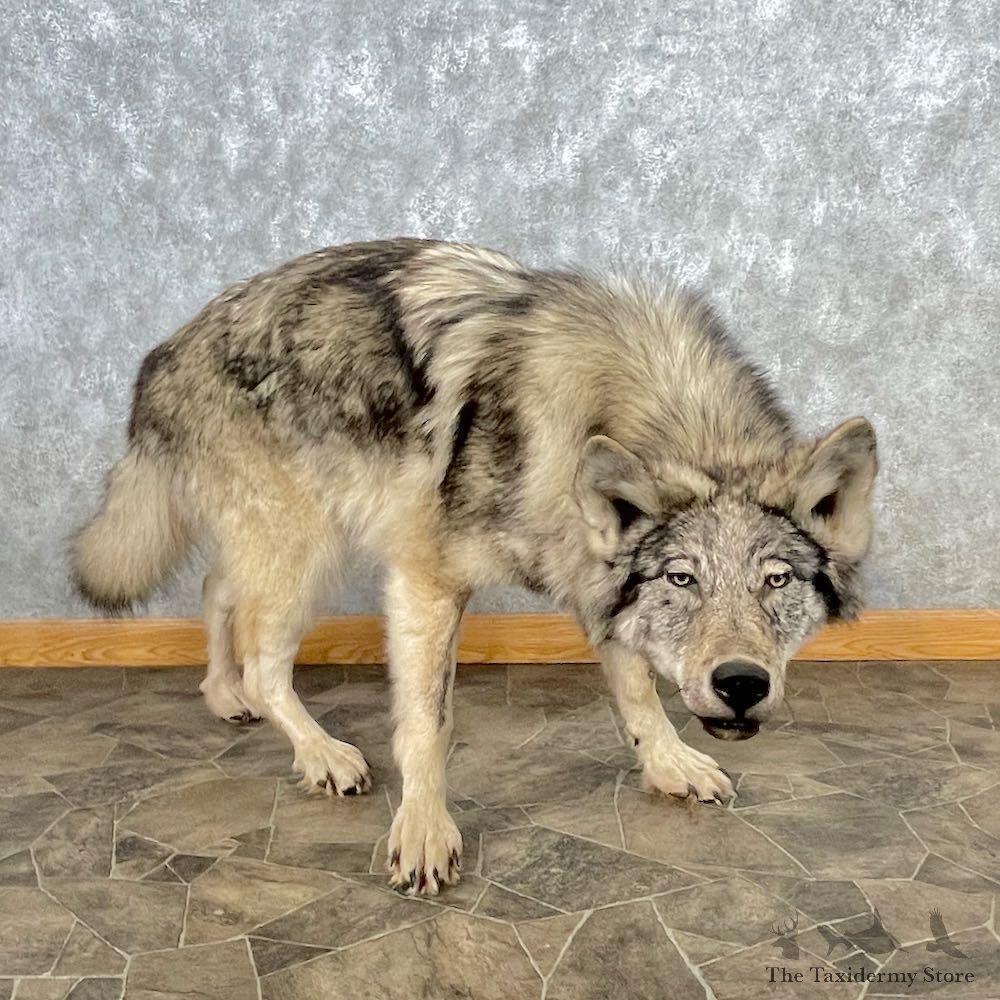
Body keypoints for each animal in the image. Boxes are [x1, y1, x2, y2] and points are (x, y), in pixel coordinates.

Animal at [72, 238, 878, 894]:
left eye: (777, 581)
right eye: (683, 579)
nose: (741, 684)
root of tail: (161, 355)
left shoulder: (592, 581)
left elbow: (637, 692)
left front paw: (668, 766)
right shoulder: (427, 580)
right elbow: (428, 722)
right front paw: (423, 833)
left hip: (281, 547)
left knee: (218, 591)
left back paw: (223, 694)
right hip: (306, 554)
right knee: (264, 657)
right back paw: (322, 753)